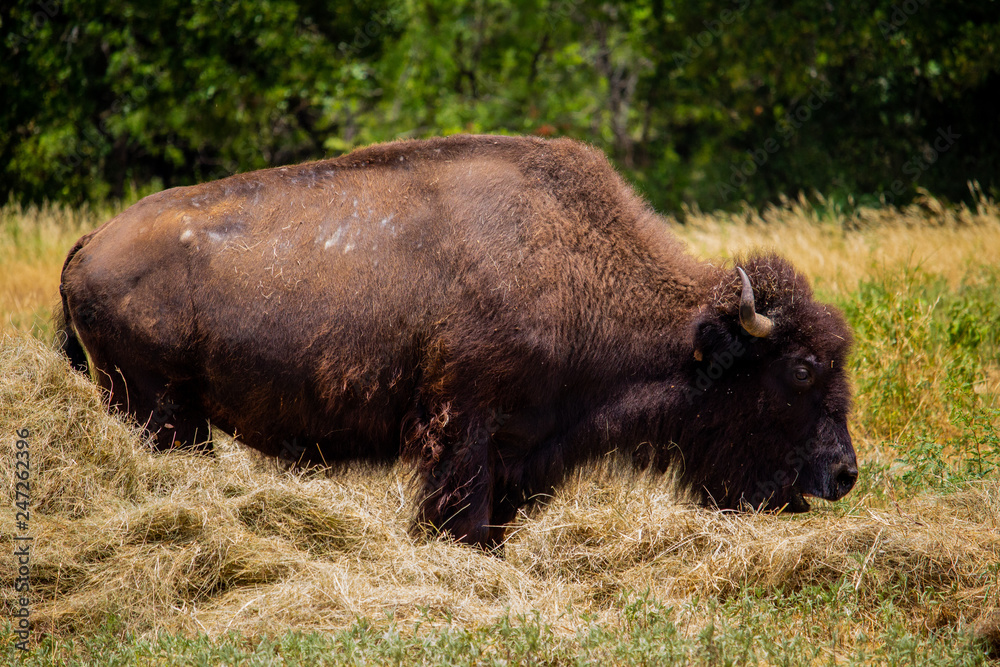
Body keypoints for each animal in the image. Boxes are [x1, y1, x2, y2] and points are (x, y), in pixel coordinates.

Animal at [59, 134, 857, 549]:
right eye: (800, 369)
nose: (845, 474)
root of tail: (89, 244)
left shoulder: (519, 451)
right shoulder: (462, 433)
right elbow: (458, 516)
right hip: (158, 411)